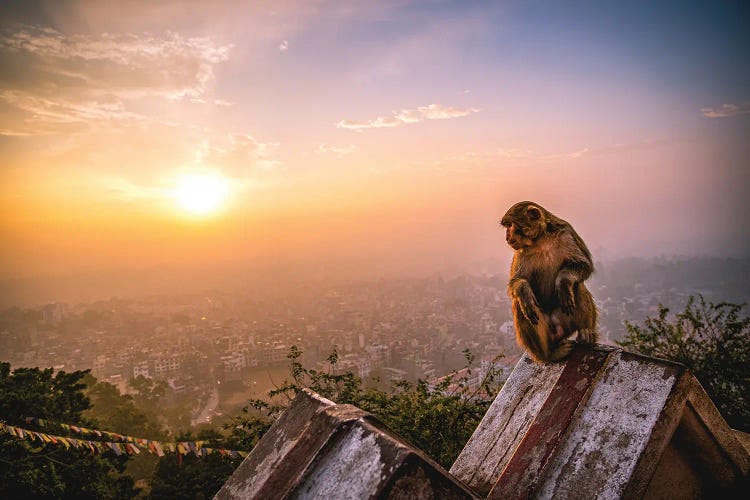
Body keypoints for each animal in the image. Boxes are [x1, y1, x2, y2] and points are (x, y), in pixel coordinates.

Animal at [500, 201, 600, 362]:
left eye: (510, 225)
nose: (507, 237)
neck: (540, 240)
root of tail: (556, 328)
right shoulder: (520, 251)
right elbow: (517, 281)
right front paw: (524, 291)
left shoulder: (567, 234)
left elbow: (584, 264)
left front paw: (563, 282)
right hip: (547, 333)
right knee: (521, 304)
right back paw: (549, 355)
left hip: (565, 321)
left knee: (577, 286)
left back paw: (586, 333)